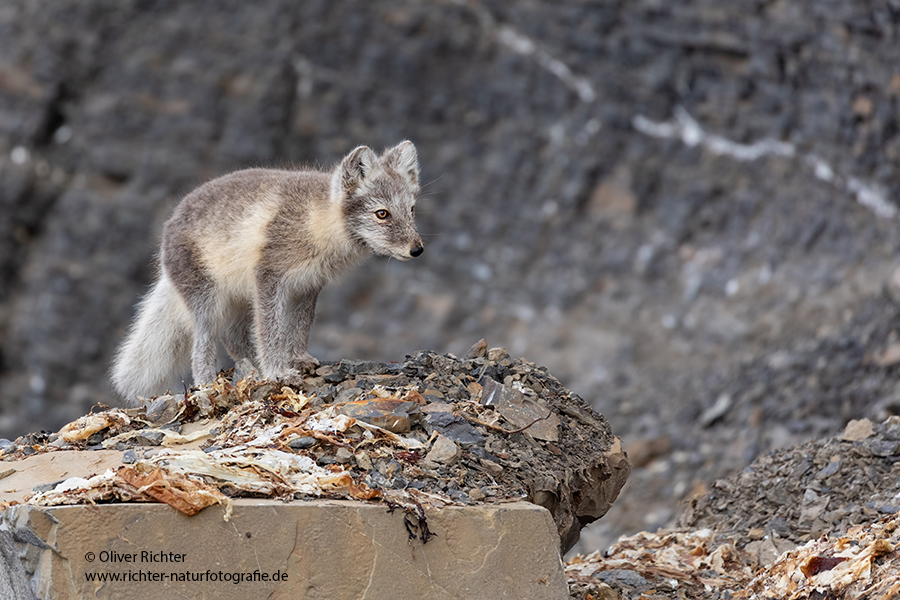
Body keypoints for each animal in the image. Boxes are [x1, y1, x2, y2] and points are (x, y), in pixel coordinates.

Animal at [111, 141, 424, 402]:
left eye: (411, 210)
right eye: (382, 214)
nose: (417, 250)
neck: (315, 222)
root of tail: (168, 226)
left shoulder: (308, 285)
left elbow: (300, 326)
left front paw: (296, 359)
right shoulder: (269, 277)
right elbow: (270, 331)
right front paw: (278, 372)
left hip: (238, 299)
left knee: (233, 338)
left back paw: (251, 370)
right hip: (208, 302)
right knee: (202, 349)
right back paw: (209, 384)